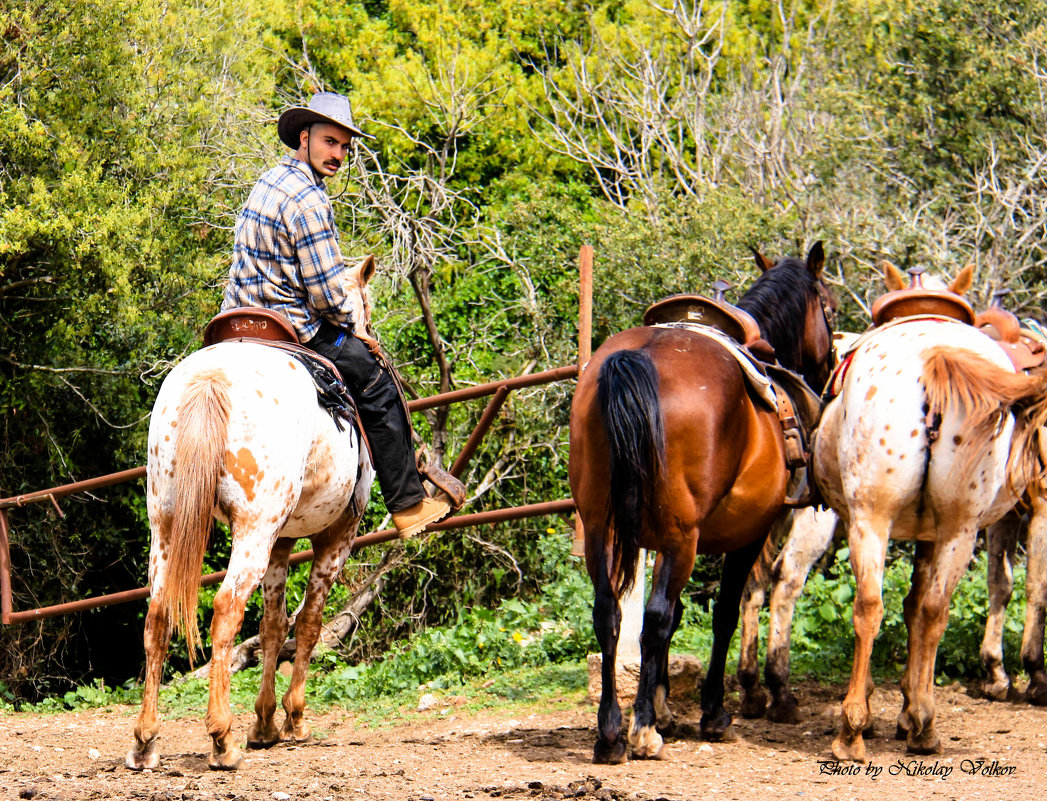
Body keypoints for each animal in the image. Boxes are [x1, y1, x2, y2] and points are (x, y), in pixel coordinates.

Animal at [127, 256, 379, 770]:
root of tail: (212, 378)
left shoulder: (282, 542)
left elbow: (273, 625)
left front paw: (264, 723)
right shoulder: (336, 537)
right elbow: (308, 623)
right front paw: (293, 719)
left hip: (166, 525)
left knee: (158, 616)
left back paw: (145, 741)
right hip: (253, 531)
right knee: (226, 608)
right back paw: (221, 739)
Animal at [569, 238, 837, 762]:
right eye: (831, 309)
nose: (831, 366)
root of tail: (636, 360)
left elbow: (673, 620)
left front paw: (663, 706)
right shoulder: (746, 534)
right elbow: (722, 613)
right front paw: (709, 712)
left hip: (601, 529)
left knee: (608, 612)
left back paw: (610, 733)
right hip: (682, 537)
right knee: (652, 618)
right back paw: (642, 732)